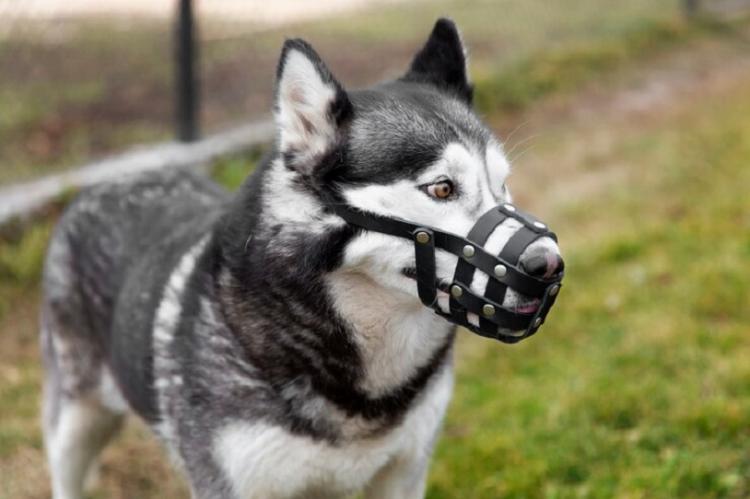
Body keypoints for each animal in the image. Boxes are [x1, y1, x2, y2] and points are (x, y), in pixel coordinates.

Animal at [38, 18, 560, 499]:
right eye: (442, 189)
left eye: (502, 185)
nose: (550, 264)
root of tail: (115, 177)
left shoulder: (404, 474)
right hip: (74, 425)